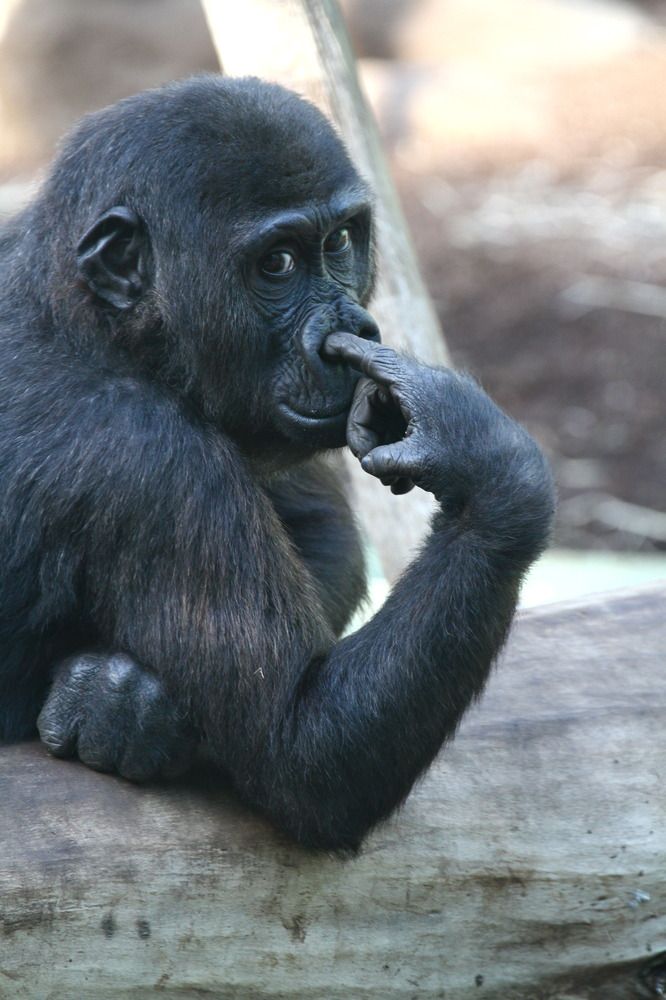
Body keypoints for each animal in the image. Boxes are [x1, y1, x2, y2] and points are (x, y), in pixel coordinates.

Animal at [0, 74, 552, 848]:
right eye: (278, 264)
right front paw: (489, 465)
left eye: (340, 241)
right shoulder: (142, 457)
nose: (353, 329)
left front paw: (122, 699)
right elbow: (304, 751)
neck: (92, 323)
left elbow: (325, 526)